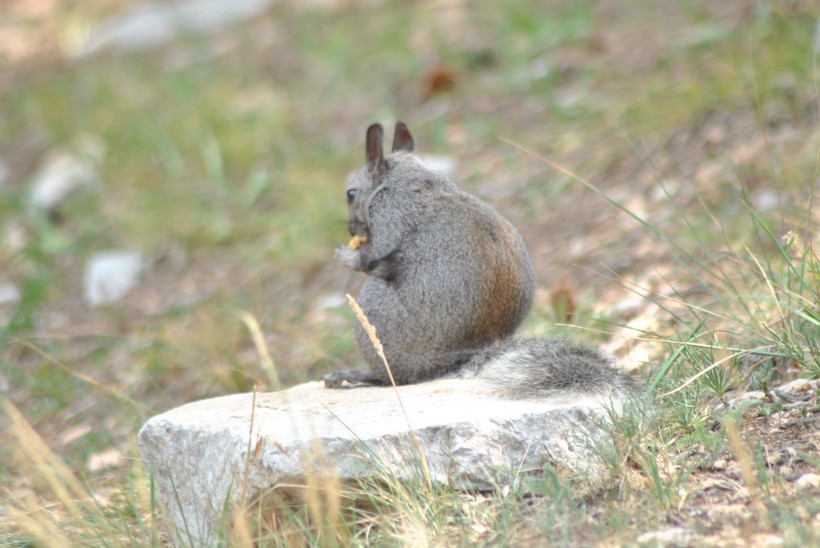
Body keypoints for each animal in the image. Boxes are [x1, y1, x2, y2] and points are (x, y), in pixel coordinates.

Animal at [324, 121, 632, 398]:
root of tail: (454, 361)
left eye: (351, 193)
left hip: (375, 314)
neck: (410, 178)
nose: (352, 230)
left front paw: (346, 255)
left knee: (396, 378)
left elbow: (371, 255)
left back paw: (356, 375)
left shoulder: (389, 212)